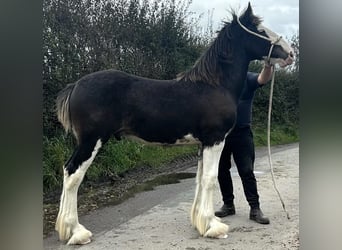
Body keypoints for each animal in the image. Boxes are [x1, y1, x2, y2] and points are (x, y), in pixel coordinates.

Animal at [54, 3, 294, 245]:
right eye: (260, 30)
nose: (290, 53)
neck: (215, 85)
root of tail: (76, 85)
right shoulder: (215, 140)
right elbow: (210, 179)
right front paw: (213, 228)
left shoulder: (202, 144)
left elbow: (199, 179)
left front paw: (201, 222)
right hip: (91, 141)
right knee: (73, 175)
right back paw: (77, 232)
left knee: (67, 172)